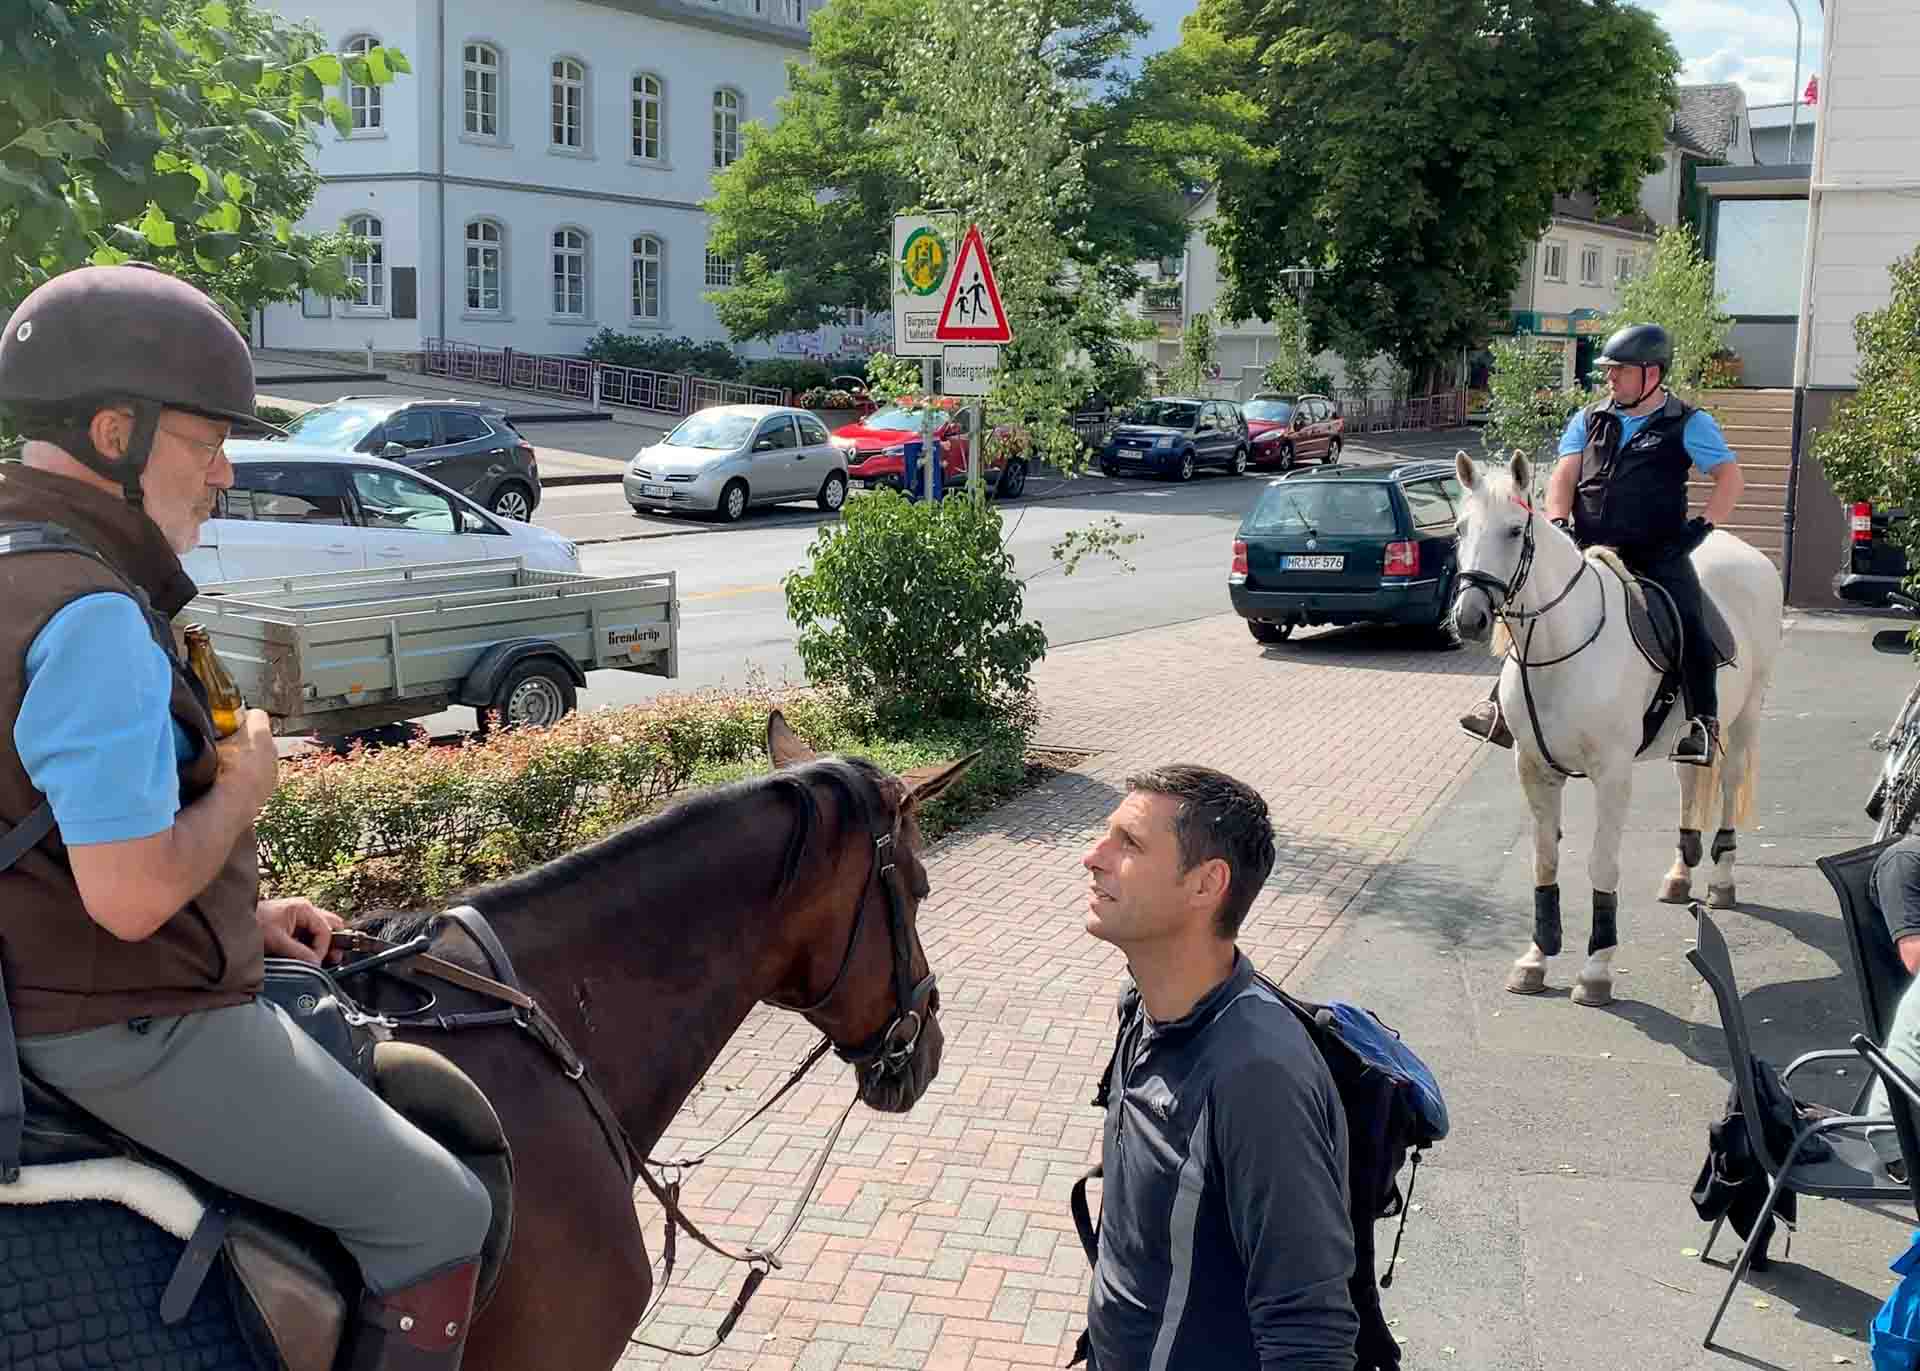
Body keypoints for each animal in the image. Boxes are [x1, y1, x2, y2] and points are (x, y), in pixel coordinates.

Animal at [1449, 452, 1783, 1007]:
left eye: (1515, 530)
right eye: (1459, 529)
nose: (1469, 618)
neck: (1560, 648)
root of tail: (1752, 557)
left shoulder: (1611, 775)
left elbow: (1601, 865)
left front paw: (1596, 971)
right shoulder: (1534, 768)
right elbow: (1544, 862)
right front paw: (1535, 959)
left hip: (1747, 717)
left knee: (1729, 786)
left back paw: (1721, 881)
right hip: (1689, 736)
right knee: (1690, 781)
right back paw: (1679, 875)